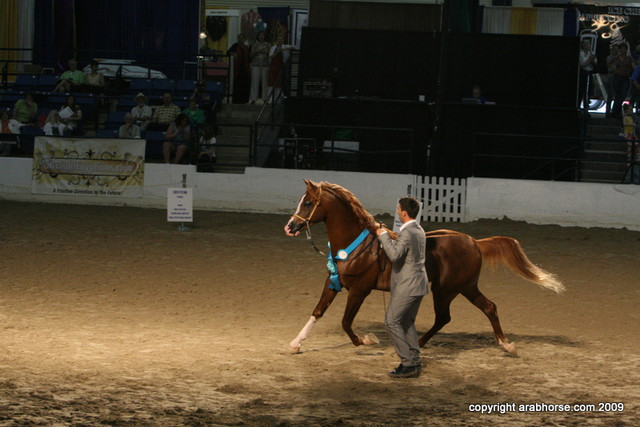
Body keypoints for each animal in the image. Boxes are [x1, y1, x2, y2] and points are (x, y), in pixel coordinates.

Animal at [284, 179, 564, 355]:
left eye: (308, 203)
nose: (290, 227)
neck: (356, 245)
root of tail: (474, 241)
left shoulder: (360, 289)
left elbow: (345, 322)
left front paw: (366, 340)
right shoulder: (334, 283)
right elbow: (318, 311)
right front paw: (295, 343)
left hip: (446, 290)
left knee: (445, 317)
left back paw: (420, 342)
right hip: (466, 287)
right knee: (489, 307)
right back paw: (506, 345)